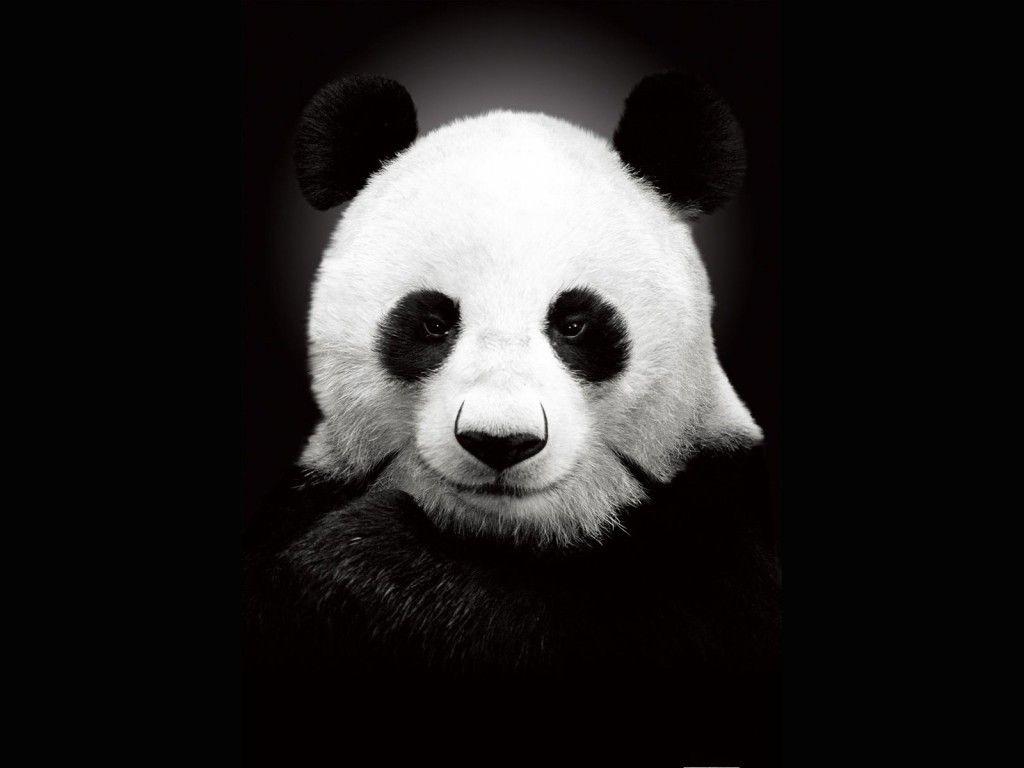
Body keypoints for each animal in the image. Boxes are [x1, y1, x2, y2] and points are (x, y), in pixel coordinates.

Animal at [244, 73, 780, 767]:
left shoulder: (723, 518)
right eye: (433, 323)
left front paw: (362, 568)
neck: (506, 538)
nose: (501, 442)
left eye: (574, 324)